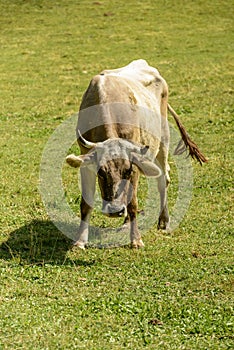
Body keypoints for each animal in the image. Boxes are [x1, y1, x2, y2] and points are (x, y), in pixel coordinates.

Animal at [66, 58, 207, 247]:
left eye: (127, 171)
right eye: (101, 173)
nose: (115, 211)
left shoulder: (135, 166)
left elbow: (133, 203)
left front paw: (136, 240)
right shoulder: (86, 163)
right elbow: (85, 204)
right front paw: (80, 241)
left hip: (163, 138)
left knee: (163, 179)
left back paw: (164, 221)